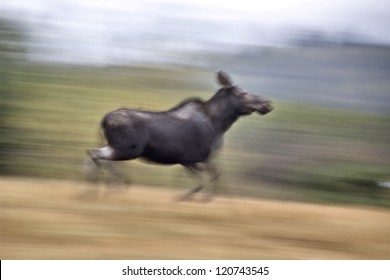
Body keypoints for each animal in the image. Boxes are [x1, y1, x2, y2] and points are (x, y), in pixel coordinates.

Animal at [86, 71, 272, 200]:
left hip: (117, 147)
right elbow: (205, 180)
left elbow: (212, 176)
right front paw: (187, 197)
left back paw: (103, 189)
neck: (219, 124)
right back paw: (101, 189)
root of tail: (103, 120)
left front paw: (201, 197)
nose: (266, 103)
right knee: (95, 155)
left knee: (96, 157)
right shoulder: (191, 159)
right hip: (127, 149)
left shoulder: (194, 160)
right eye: (242, 93)